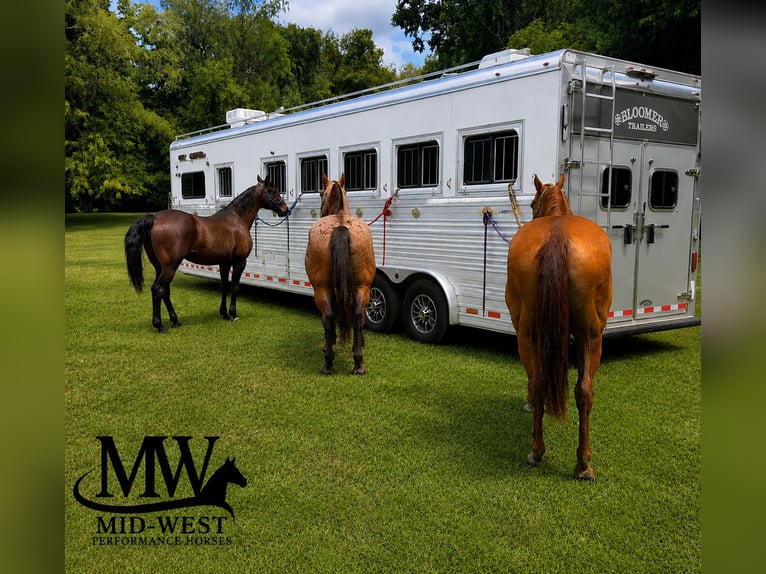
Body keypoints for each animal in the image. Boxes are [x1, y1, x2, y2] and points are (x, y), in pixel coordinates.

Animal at [125, 175, 288, 333]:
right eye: (272, 190)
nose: (285, 209)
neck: (237, 219)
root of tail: (154, 218)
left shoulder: (224, 262)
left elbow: (224, 287)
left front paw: (224, 313)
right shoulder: (239, 261)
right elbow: (235, 287)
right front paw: (233, 314)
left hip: (159, 267)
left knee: (165, 291)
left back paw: (175, 320)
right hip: (170, 266)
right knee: (158, 289)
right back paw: (160, 326)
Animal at [304, 174, 376, 374]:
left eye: (321, 192)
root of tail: (341, 226)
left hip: (320, 289)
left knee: (328, 316)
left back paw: (328, 363)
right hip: (362, 286)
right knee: (358, 315)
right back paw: (358, 363)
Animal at [505, 174, 613, 480]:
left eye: (532, 203)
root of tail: (557, 237)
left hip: (529, 333)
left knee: (543, 383)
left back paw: (543, 453)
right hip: (590, 334)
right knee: (582, 390)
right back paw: (580, 463)